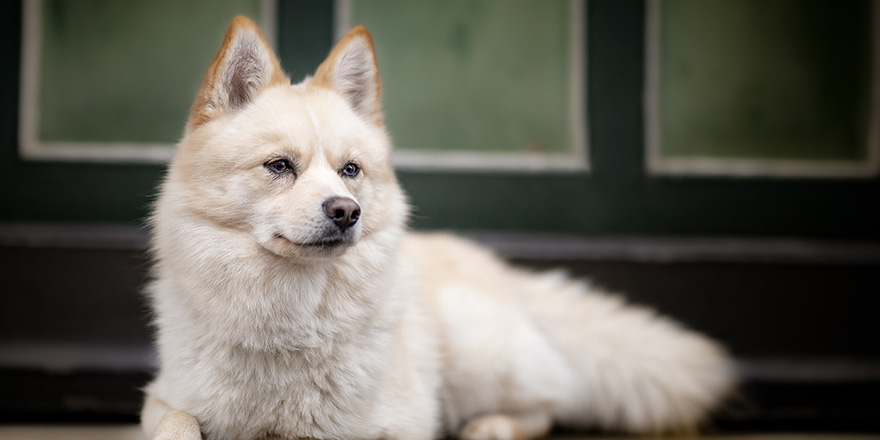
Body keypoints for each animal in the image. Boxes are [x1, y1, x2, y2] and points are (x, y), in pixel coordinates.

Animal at [143, 16, 736, 440]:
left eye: (350, 170)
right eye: (279, 166)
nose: (346, 211)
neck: (288, 323)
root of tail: (501, 273)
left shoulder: (398, 423)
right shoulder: (163, 399)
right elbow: (178, 423)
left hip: (473, 353)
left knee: (548, 404)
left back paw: (491, 427)